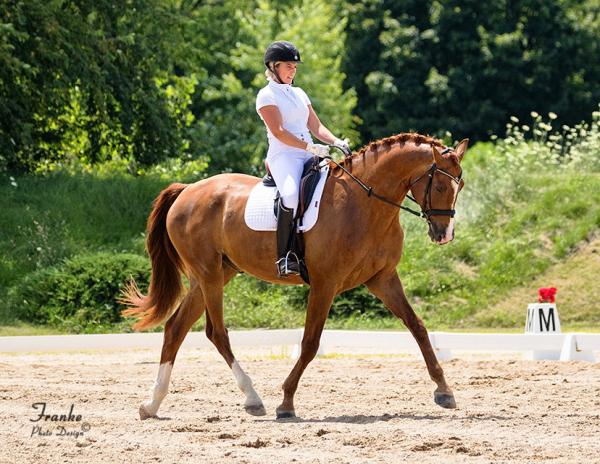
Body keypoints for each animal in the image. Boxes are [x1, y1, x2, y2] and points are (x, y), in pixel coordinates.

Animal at [122, 131, 468, 420]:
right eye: (439, 185)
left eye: (460, 185)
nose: (444, 234)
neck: (364, 205)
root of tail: (186, 190)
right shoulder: (325, 284)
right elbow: (310, 343)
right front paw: (286, 402)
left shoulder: (383, 279)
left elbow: (417, 326)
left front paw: (444, 391)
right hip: (208, 276)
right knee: (216, 333)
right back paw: (252, 398)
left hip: (214, 275)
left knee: (176, 328)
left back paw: (152, 404)